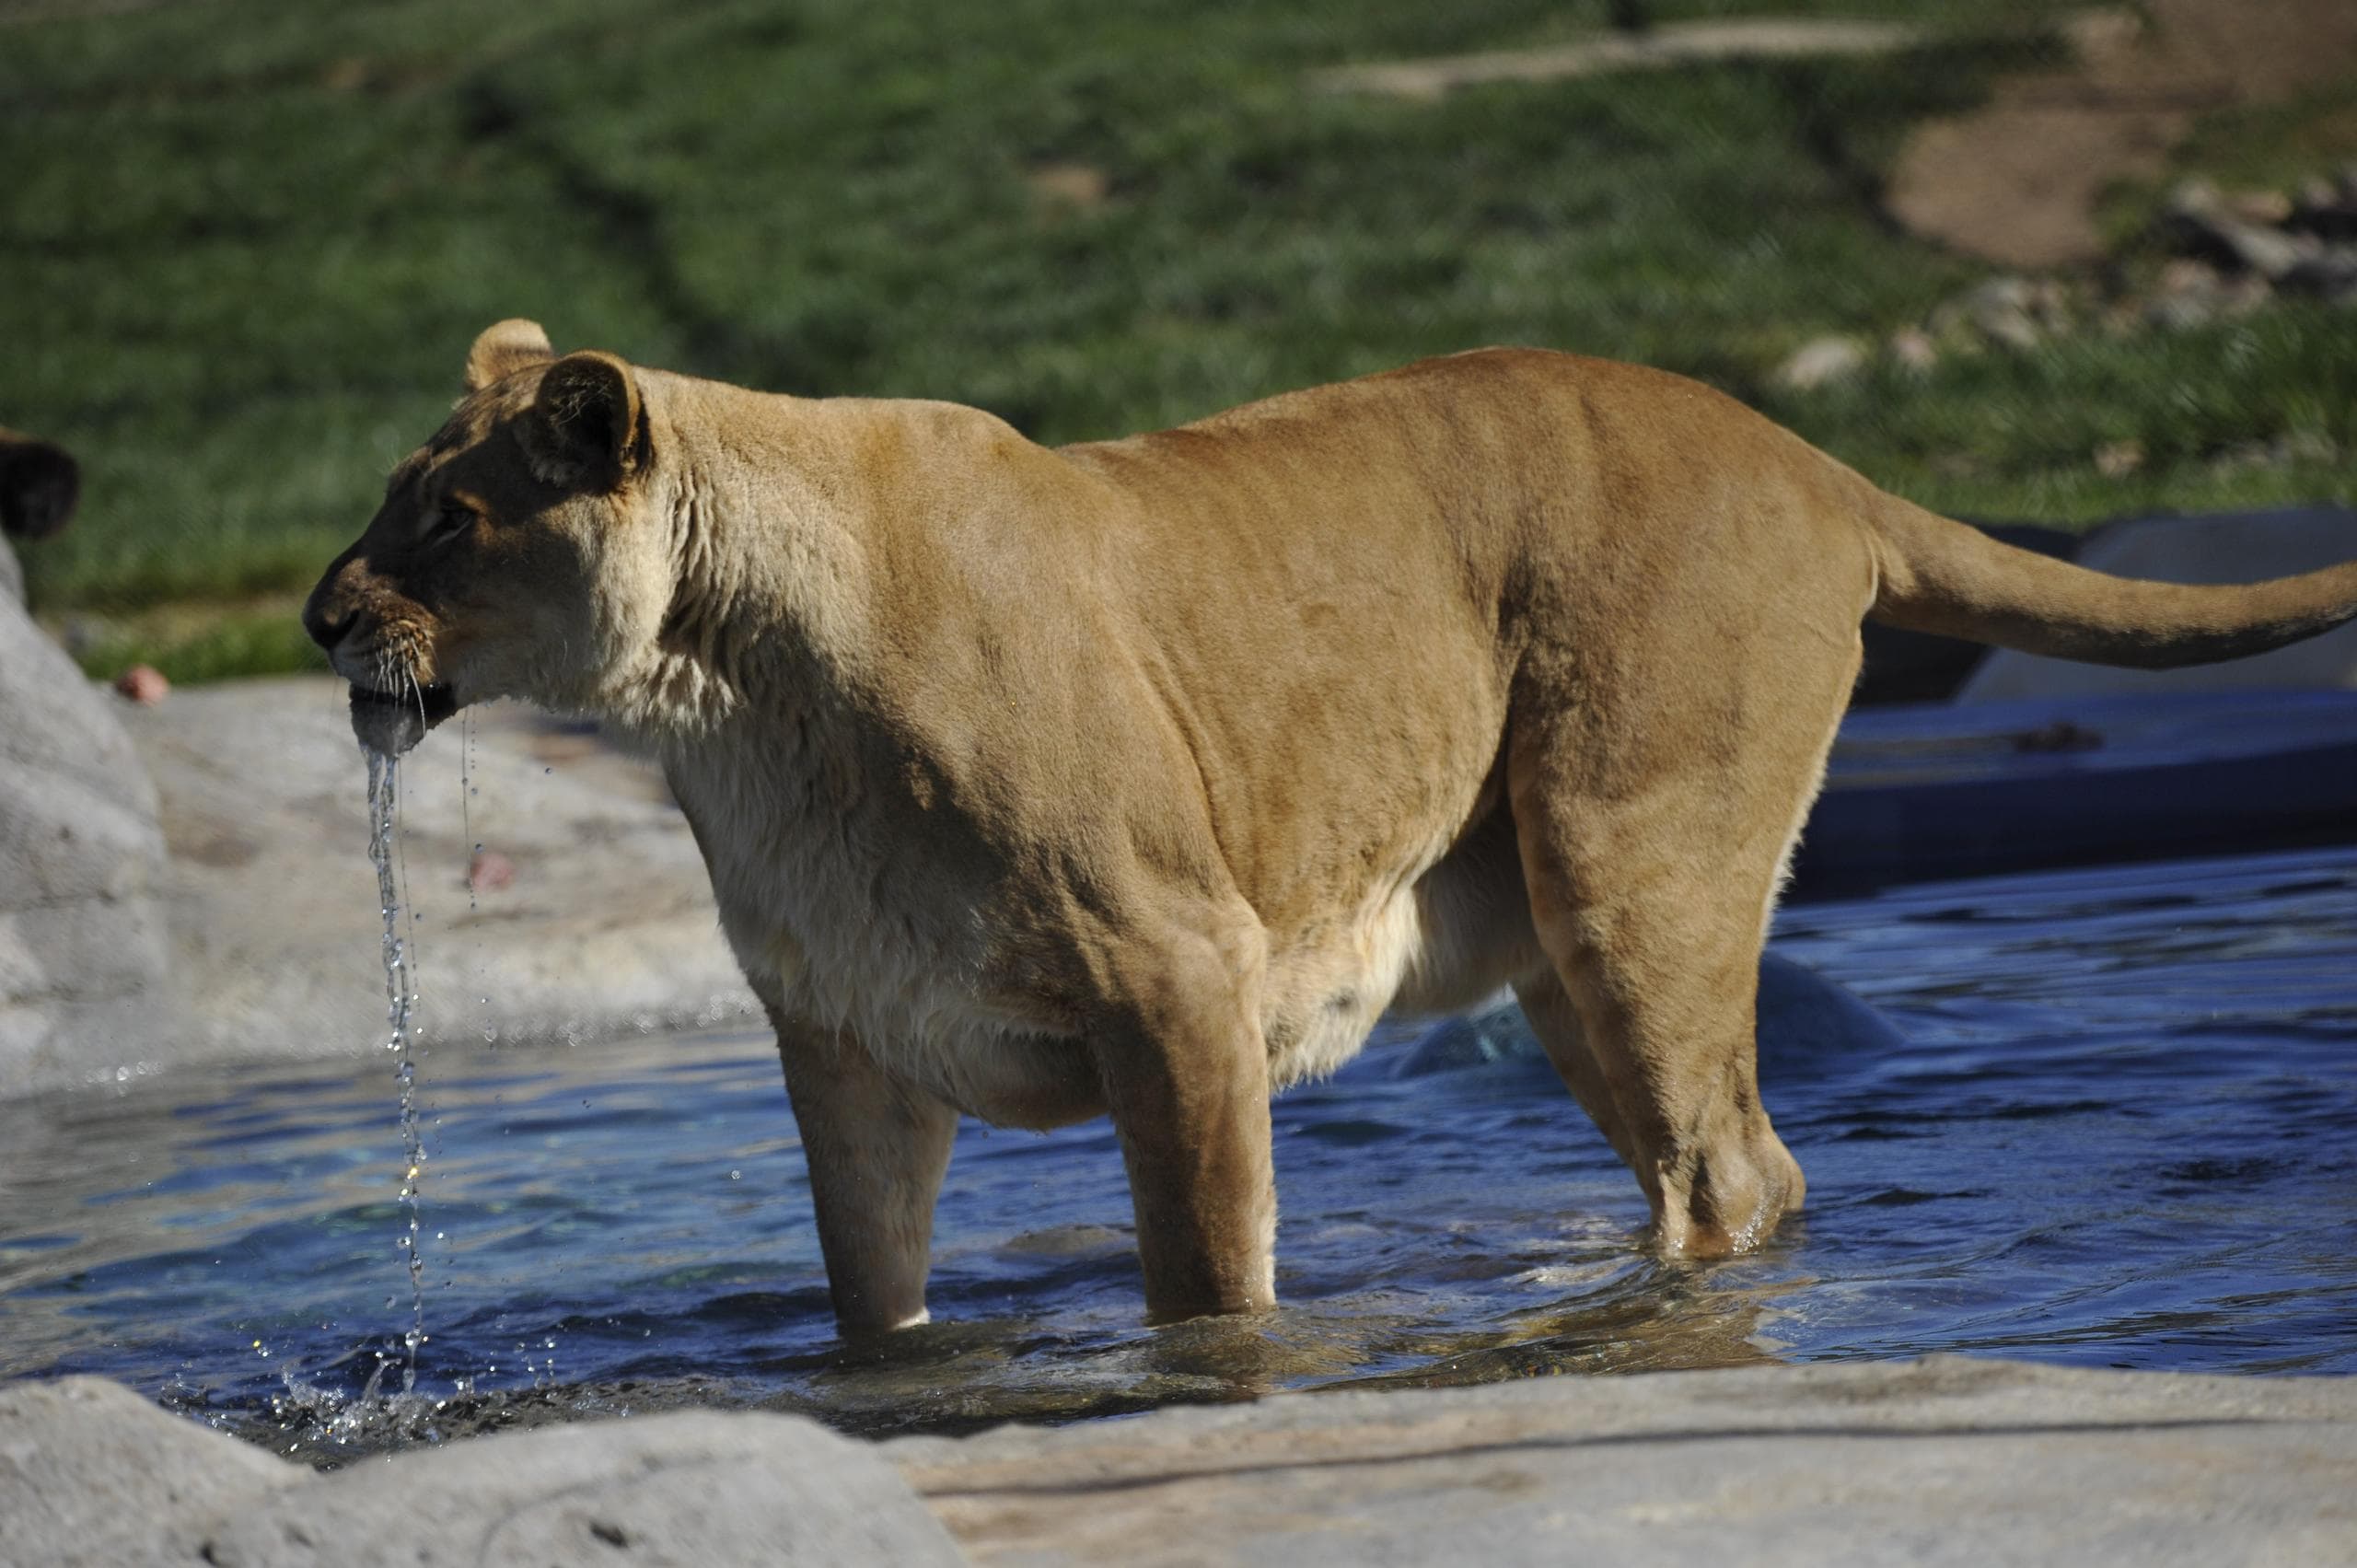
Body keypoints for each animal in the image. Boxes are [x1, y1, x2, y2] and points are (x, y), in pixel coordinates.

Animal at [305, 321, 2357, 1335]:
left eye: (446, 521)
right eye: (390, 502)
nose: (321, 618)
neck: (716, 703)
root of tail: (1803, 455)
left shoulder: (1173, 971)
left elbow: (1207, 1279)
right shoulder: (846, 1036)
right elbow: (870, 1302)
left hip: (1632, 860)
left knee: (1734, 1169)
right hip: (1561, 946)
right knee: (1712, 1161)